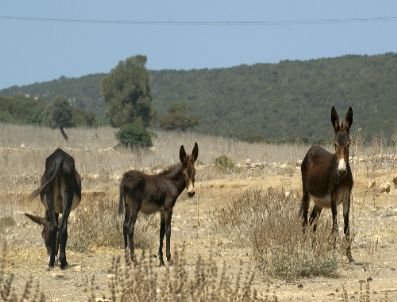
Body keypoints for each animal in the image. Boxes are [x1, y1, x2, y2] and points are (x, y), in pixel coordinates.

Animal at [300, 108, 352, 262]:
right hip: (306, 194)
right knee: (304, 220)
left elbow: (346, 227)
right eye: (334, 144)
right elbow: (335, 226)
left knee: (312, 220)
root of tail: (312, 148)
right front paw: (333, 253)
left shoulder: (347, 197)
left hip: (319, 203)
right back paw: (303, 248)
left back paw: (313, 248)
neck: (342, 179)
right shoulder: (333, 199)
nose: (342, 170)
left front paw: (349, 256)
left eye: (349, 144)